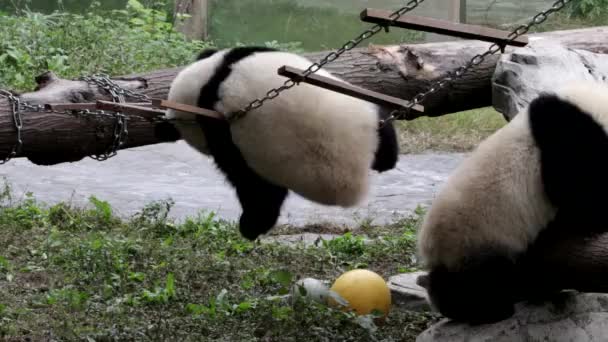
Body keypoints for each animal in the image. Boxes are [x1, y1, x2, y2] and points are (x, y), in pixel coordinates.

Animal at [165, 46, 400, 240]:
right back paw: (385, 160)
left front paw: (251, 225)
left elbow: (252, 185)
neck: (206, 83)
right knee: (385, 136)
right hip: (362, 117)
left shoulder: (221, 130)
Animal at [416, 79, 608, 324]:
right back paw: (486, 309)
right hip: (477, 238)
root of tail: (432, 252)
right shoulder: (567, 134)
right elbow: (583, 196)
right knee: (480, 284)